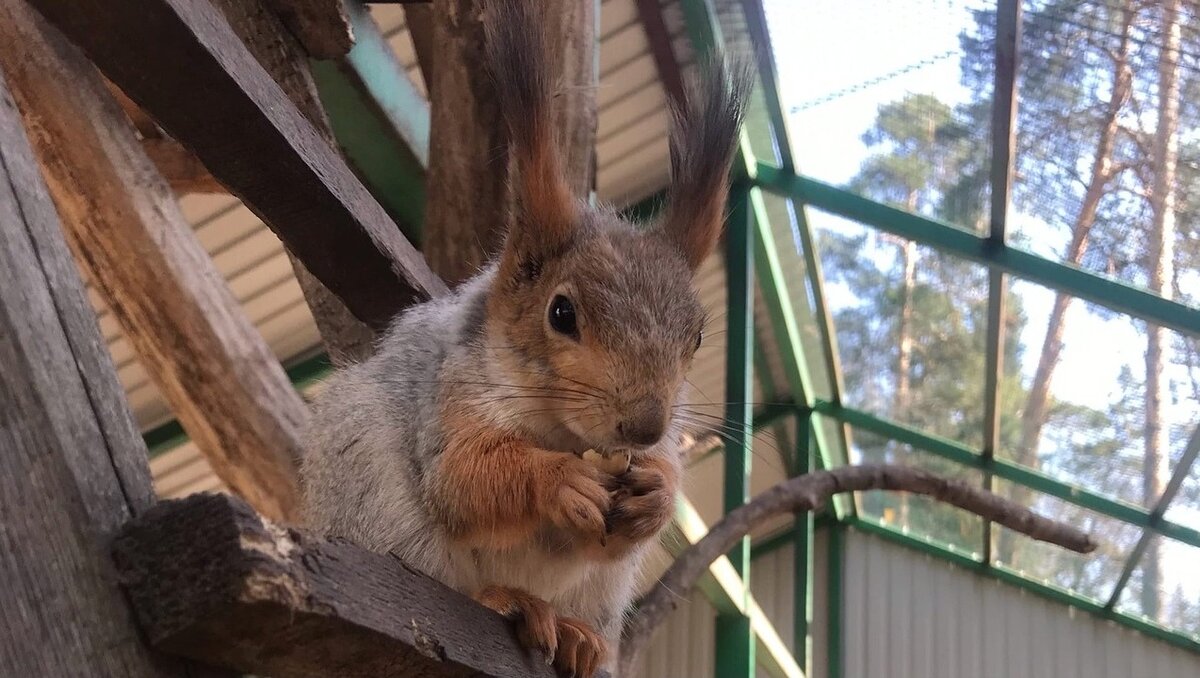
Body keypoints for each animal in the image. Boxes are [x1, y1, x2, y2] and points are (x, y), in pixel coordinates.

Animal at [300, 2, 748, 672]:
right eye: (561, 313)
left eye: (696, 336)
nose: (644, 426)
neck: (562, 430)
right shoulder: (451, 398)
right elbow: (463, 479)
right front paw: (557, 481)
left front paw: (656, 496)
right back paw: (506, 600)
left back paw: (577, 634)